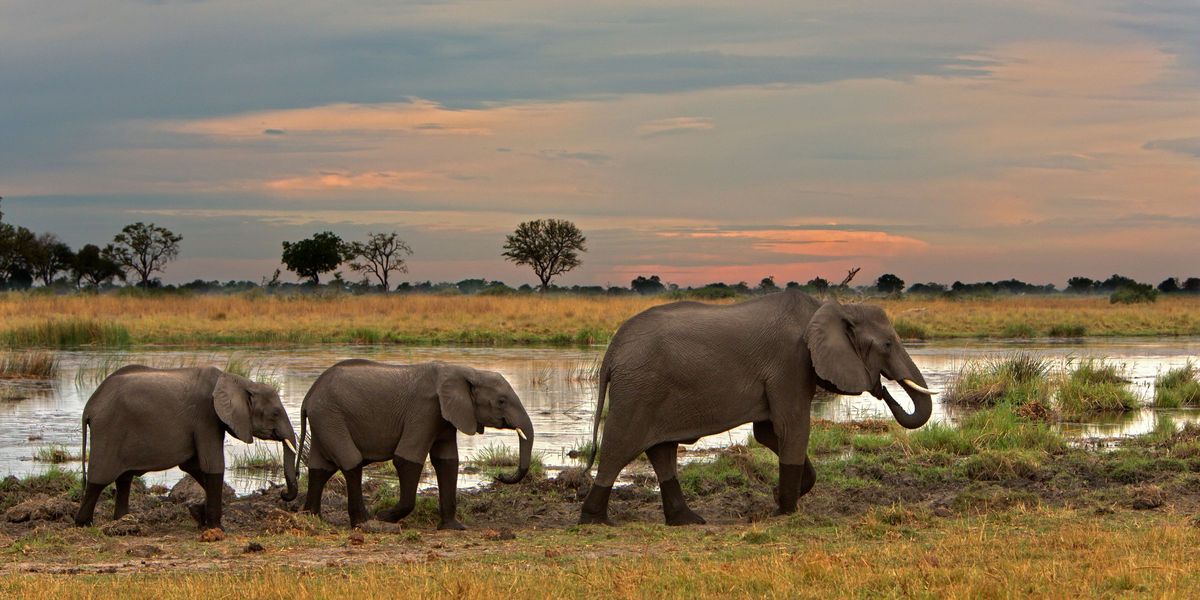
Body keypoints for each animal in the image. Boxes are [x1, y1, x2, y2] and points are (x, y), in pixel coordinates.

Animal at [73, 364, 298, 530]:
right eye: (275, 413)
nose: (283, 494)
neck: (240, 381)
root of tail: (89, 407)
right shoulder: (206, 417)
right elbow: (212, 465)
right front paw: (216, 528)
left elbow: (194, 466)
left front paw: (199, 514)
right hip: (109, 430)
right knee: (98, 479)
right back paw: (84, 523)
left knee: (124, 479)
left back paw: (122, 521)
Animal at [578, 290, 936, 525]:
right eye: (887, 345)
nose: (882, 389)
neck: (830, 308)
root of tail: (611, 350)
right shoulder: (791, 362)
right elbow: (793, 427)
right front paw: (786, 511)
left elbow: (767, 432)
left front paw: (779, 499)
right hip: (638, 388)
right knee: (619, 446)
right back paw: (595, 520)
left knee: (661, 450)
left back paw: (688, 520)